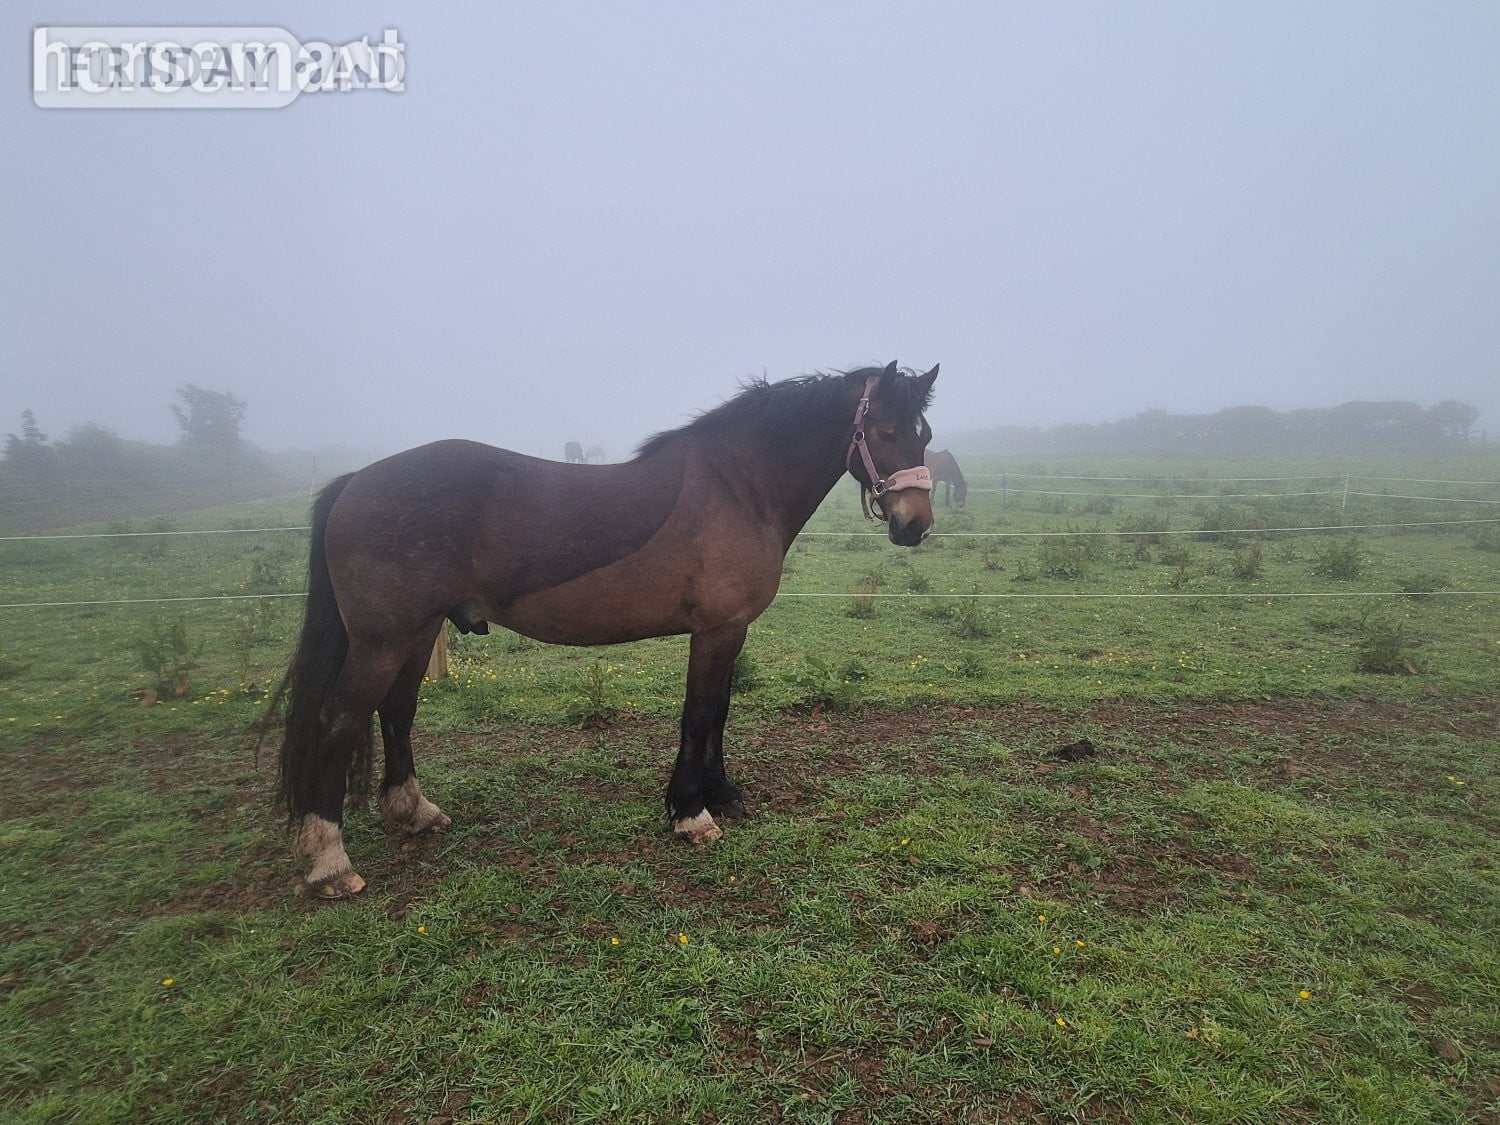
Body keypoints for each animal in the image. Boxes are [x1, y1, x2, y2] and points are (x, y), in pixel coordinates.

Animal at [272, 361, 939, 897]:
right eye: (885, 432)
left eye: (925, 434)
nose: (915, 525)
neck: (738, 486)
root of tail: (356, 482)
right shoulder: (715, 631)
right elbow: (700, 715)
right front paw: (691, 812)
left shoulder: (732, 630)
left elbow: (720, 714)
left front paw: (722, 795)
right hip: (383, 642)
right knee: (339, 721)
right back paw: (331, 862)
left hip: (413, 635)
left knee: (397, 712)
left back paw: (414, 813)